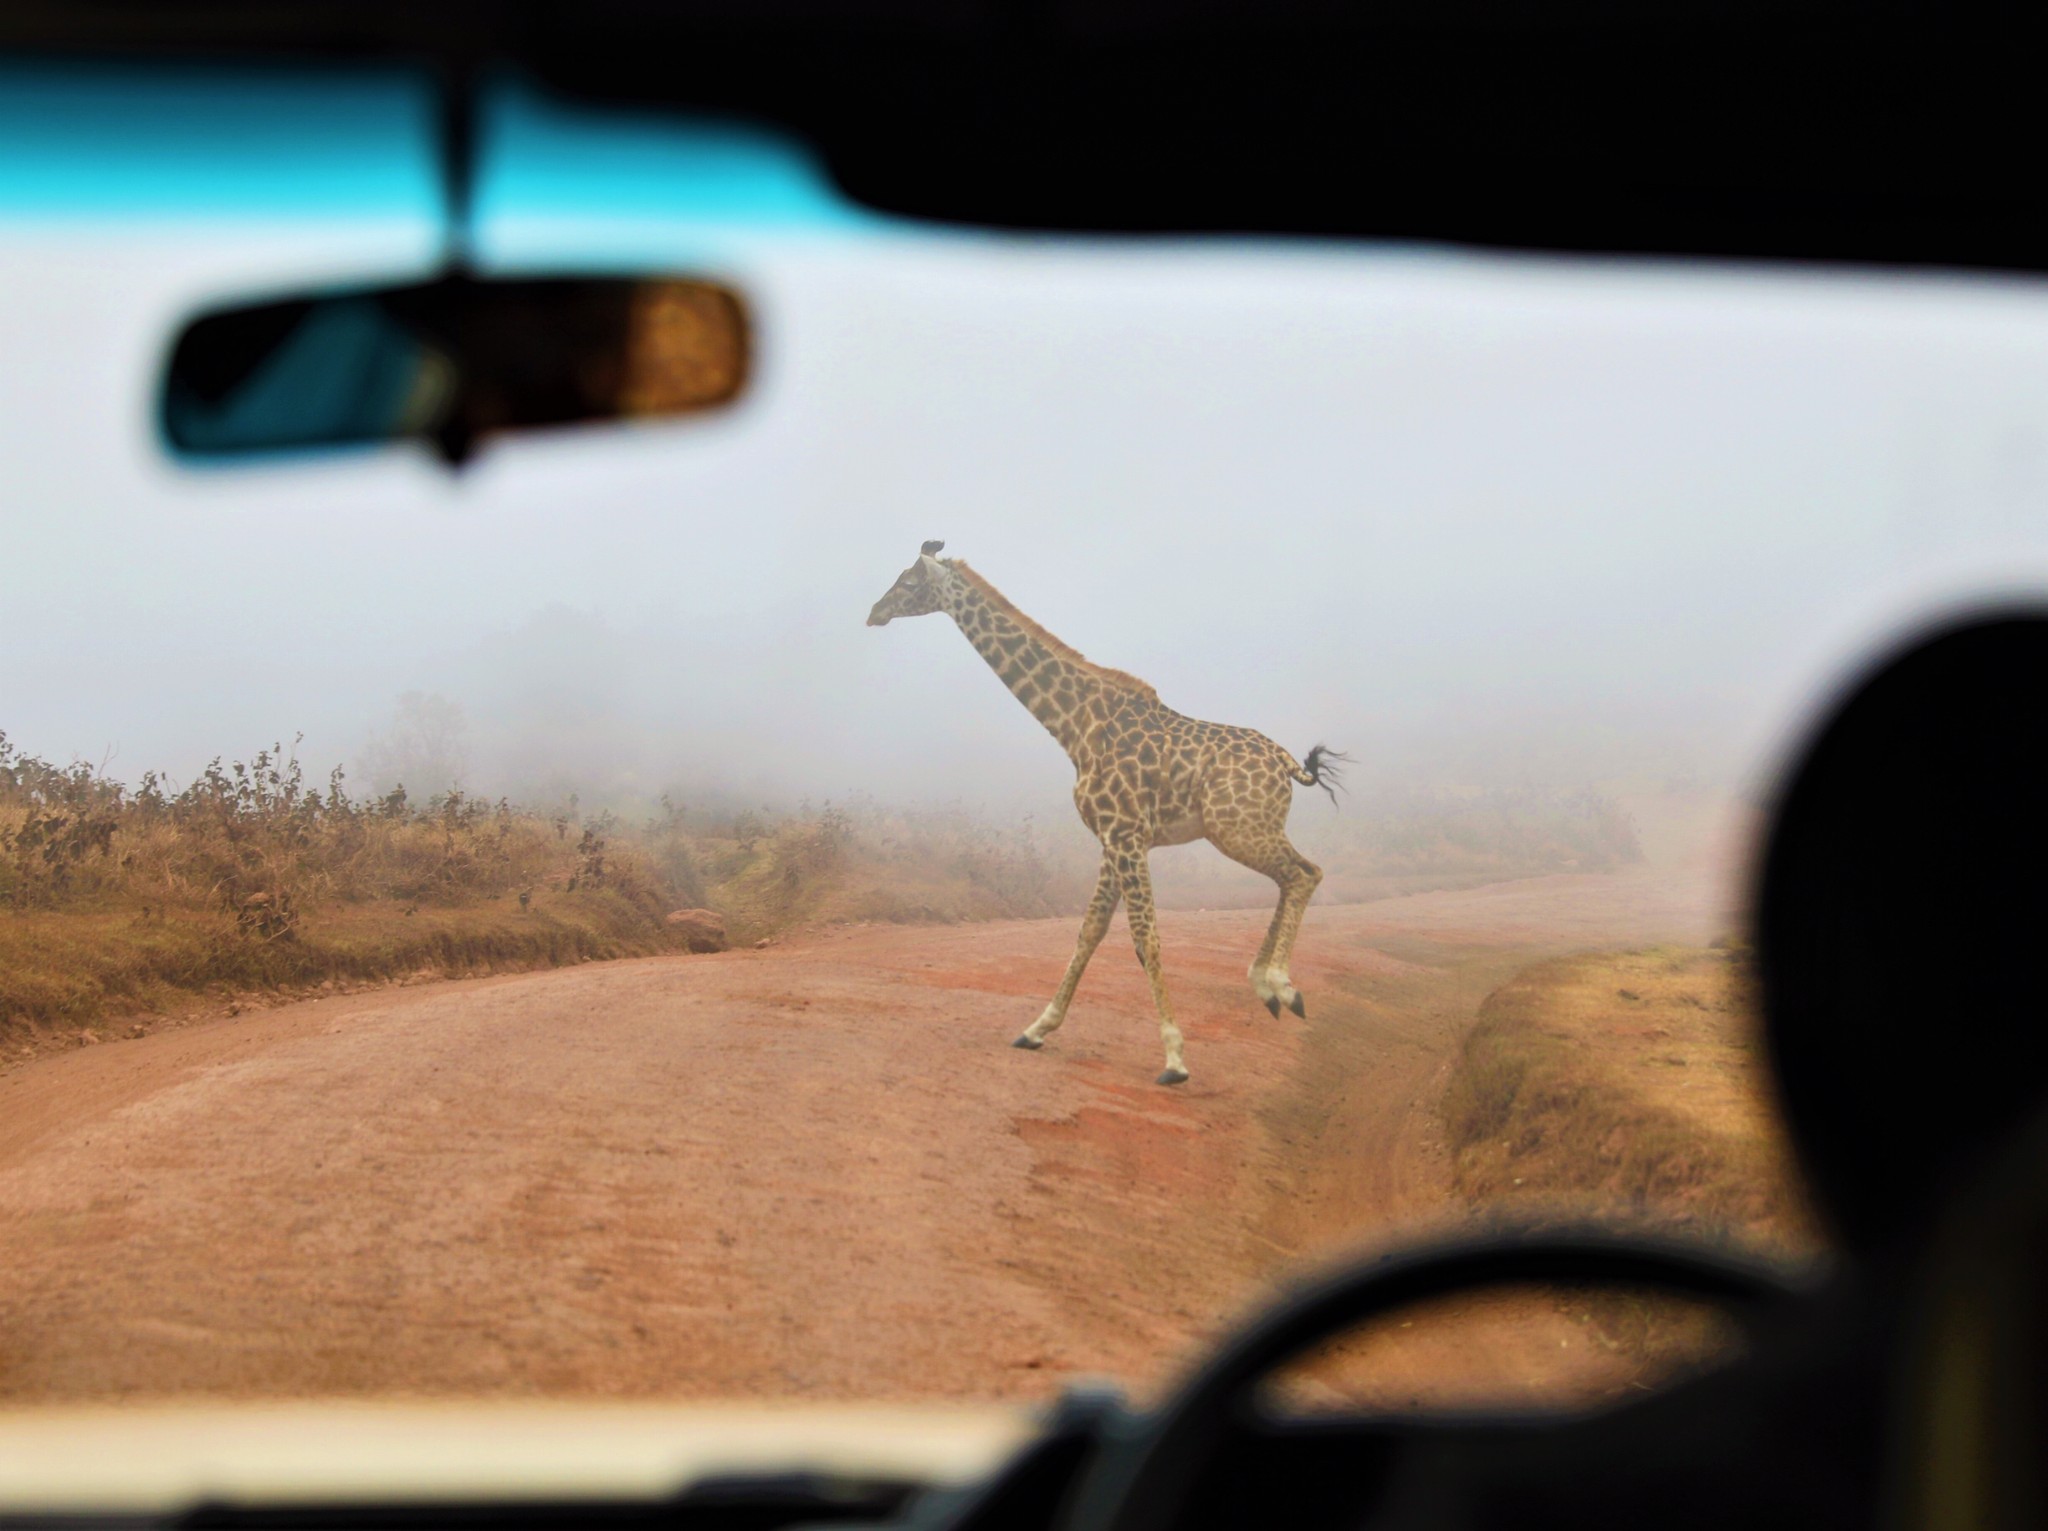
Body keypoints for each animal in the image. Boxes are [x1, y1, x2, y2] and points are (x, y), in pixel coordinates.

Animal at [864, 544, 1343, 1080]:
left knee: (1304, 873)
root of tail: (1284, 762)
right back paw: (1270, 987)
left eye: (908, 583)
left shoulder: (1126, 836)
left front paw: (1174, 1058)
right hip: (1246, 829)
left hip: (1238, 829)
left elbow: (1145, 938)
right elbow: (1089, 930)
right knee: (1295, 876)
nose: (874, 612)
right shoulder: (1112, 838)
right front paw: (1037, 1029)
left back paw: (1282, 986)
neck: (1077, 726)